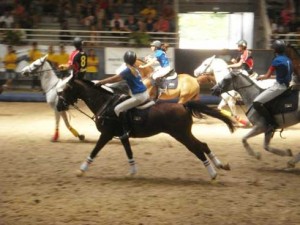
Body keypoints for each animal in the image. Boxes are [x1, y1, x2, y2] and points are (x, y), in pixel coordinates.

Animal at [55, 78, 234, 180]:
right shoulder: (123, 136)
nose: (58, 105)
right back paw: (220, 166)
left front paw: (81, 170)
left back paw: (213, 173)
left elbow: (94, 151)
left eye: (66, 89)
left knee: (197, 149)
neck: (105, 104)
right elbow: (129, 153)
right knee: (203, 145)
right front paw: (132, 172)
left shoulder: (106, 134)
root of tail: (183, 105)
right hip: (185, 133)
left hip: (181, 135)